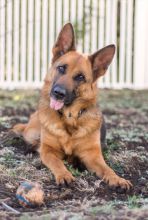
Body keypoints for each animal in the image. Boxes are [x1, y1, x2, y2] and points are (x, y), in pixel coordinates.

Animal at [13, 23, 132, 190]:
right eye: (61, 68)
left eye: (80, 77)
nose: (58, 93)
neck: (69, 118)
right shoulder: (48, 151)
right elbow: (56, 162)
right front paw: (64, 174)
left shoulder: (93, 155)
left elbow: (107, 169)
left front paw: (117, 179)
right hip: (32, 132)